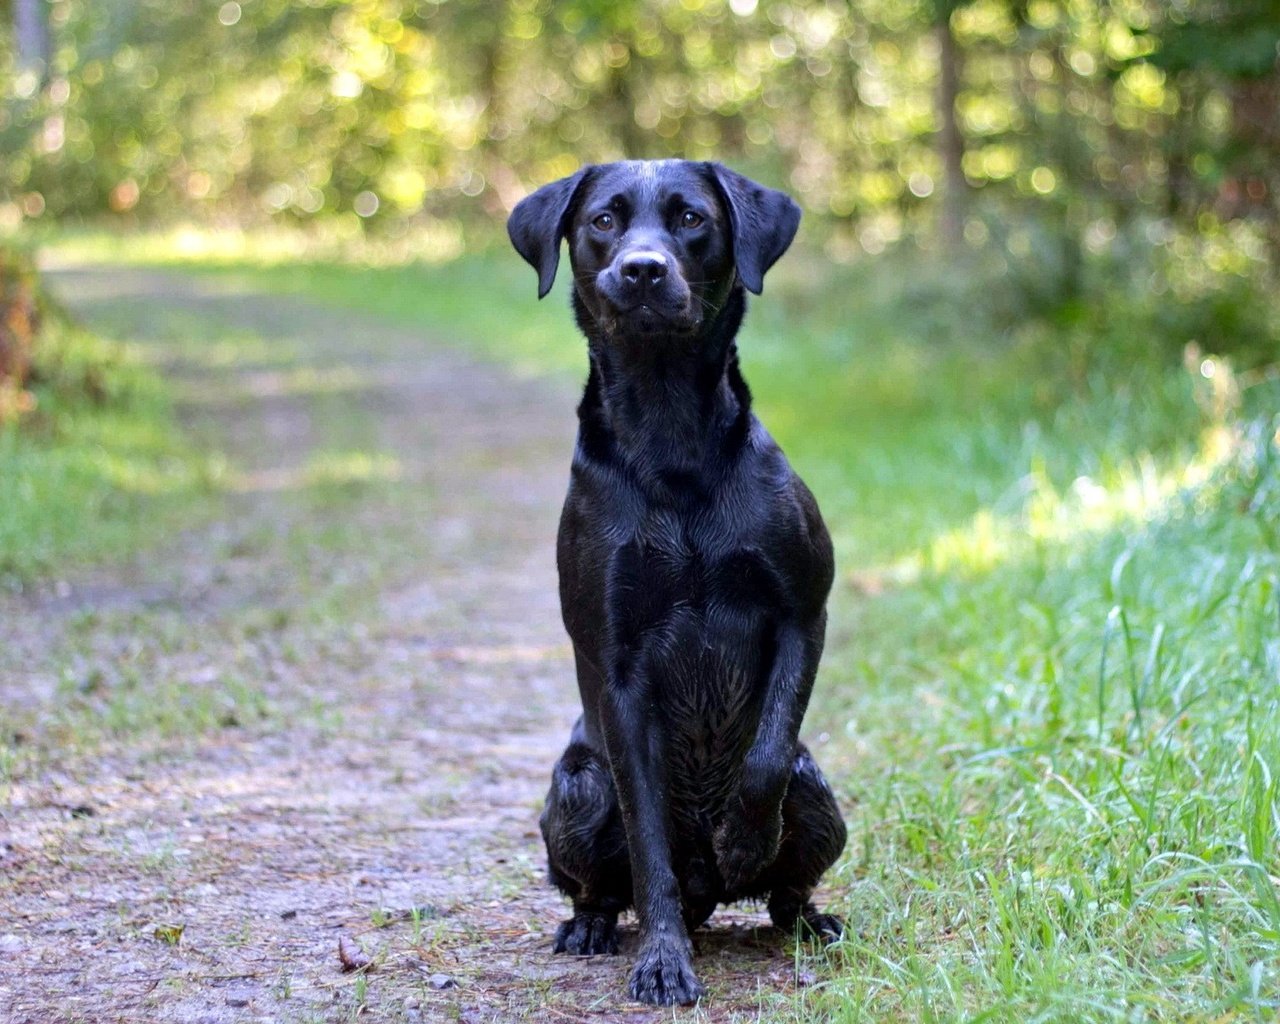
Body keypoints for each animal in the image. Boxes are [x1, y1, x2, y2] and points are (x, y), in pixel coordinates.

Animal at [504, 161, 844, 1008]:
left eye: (691, 218)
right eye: (602, 221)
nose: (643, 269)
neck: (670, 438)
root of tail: (706, 899)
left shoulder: (803, 608)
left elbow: (763, 759)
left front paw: (746, 838)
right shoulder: (616, 665)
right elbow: (647, 836)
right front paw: (662, 960)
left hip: (821, 792)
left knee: (787, 886)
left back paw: (805, 916)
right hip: (575, 791)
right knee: (601, 883)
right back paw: (592, 927)